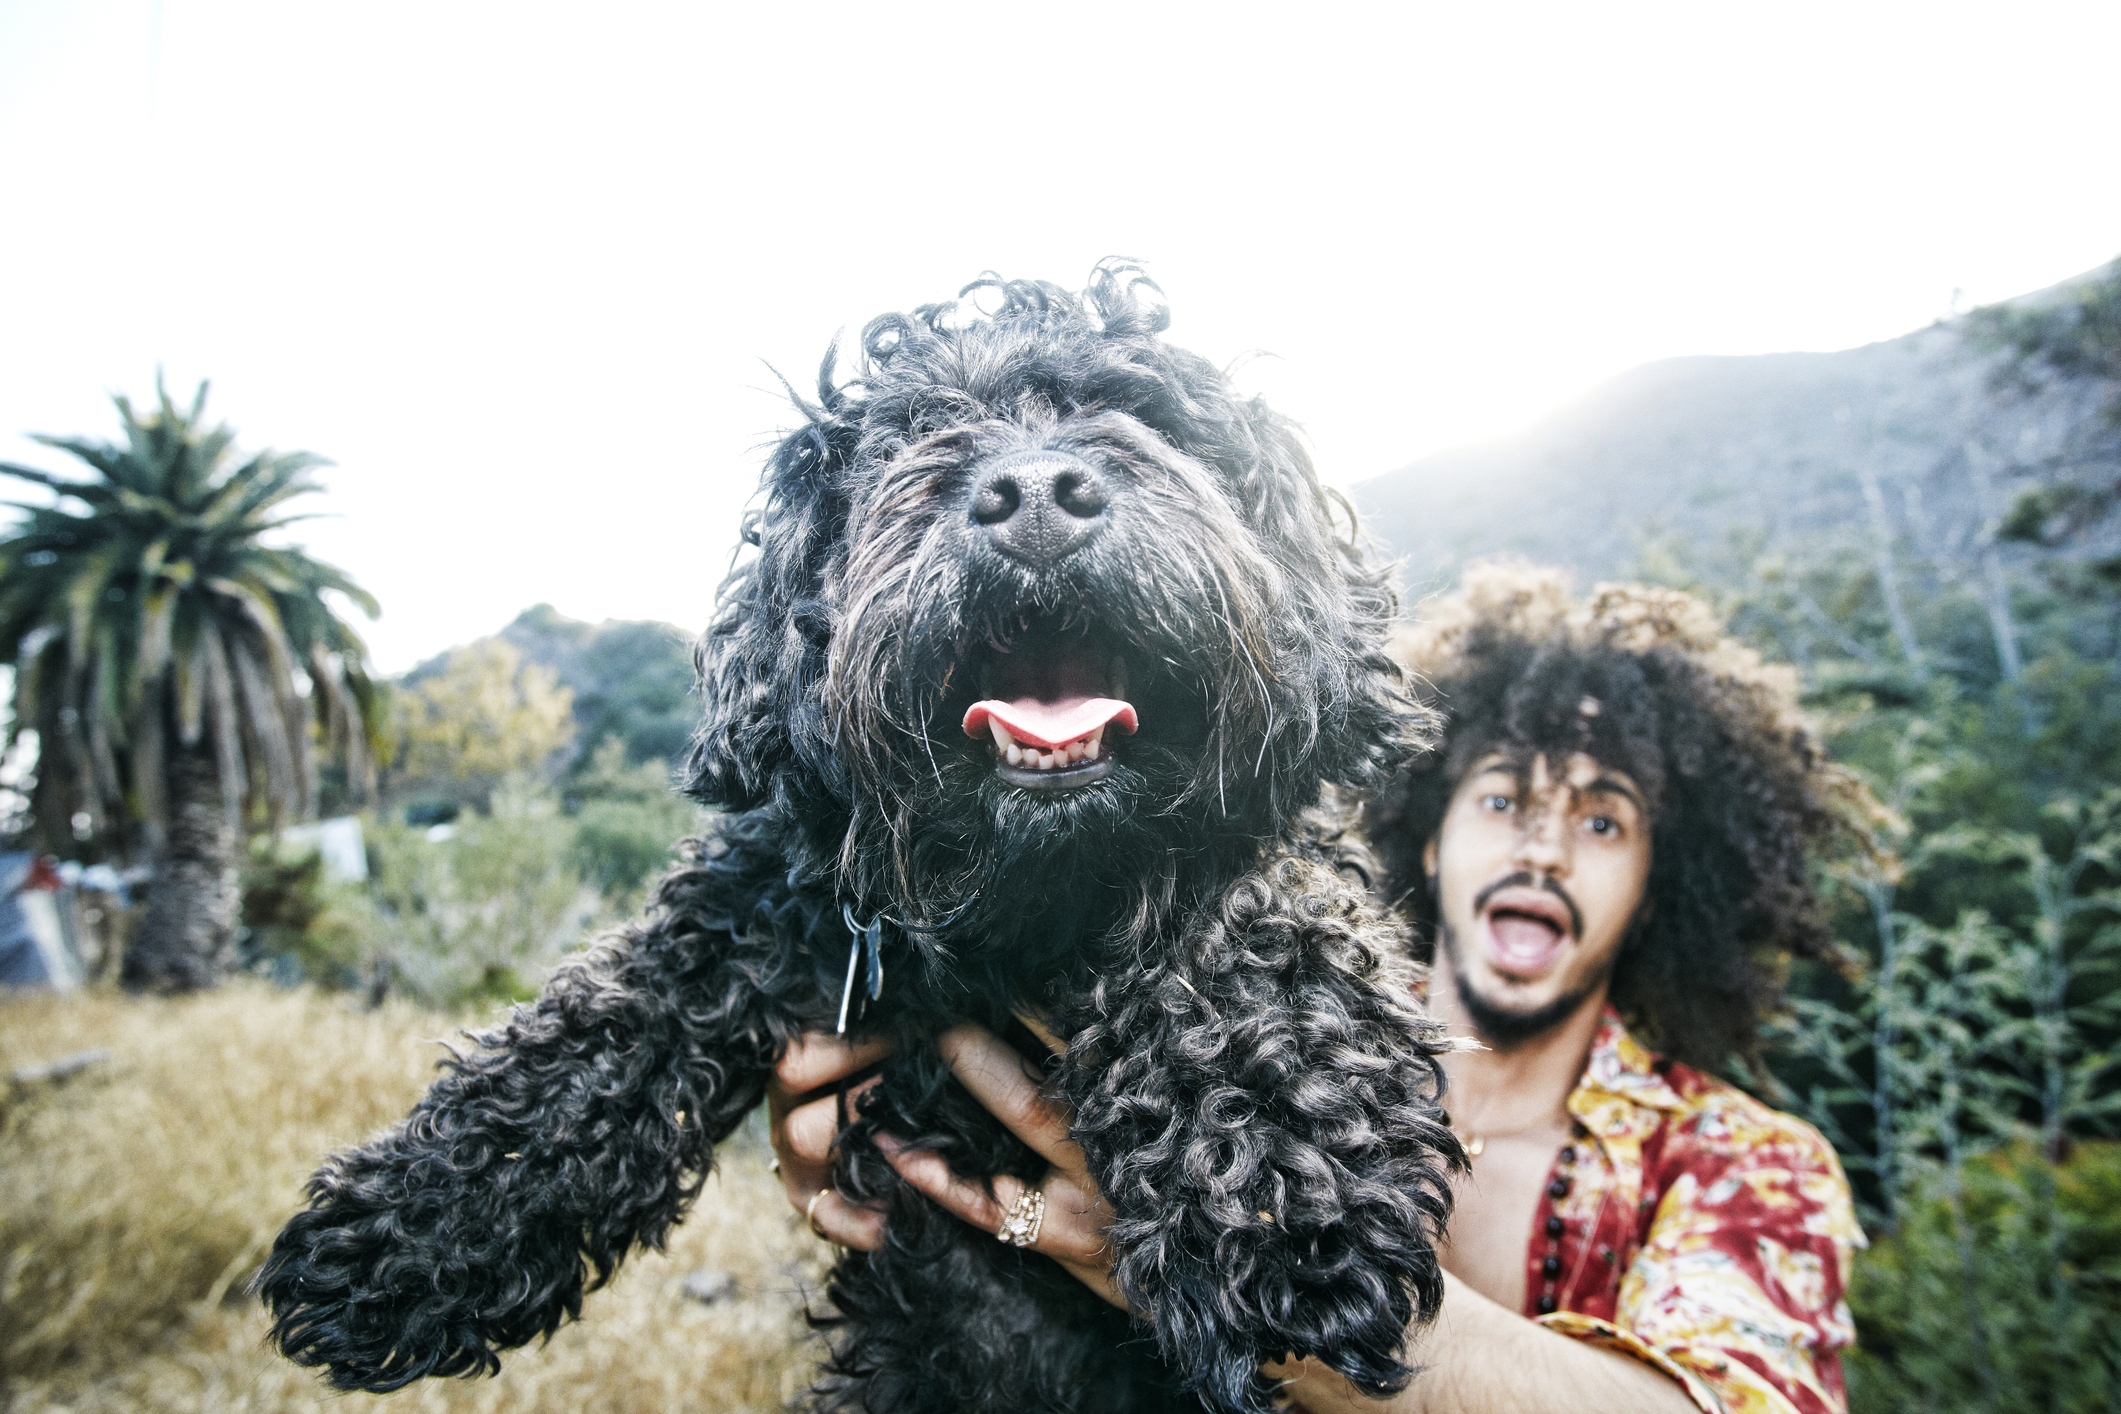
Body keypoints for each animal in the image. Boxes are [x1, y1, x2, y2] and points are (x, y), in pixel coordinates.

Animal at [256, 268, 1459, 1414]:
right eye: (915, 431)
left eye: (1141, 411)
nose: (1031, 496)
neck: (1024, 903)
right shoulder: (767, 898)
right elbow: (603, 1023)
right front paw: (418, 1224)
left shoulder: (1264, 853)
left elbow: (1247, 929)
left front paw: (1282, 1180)